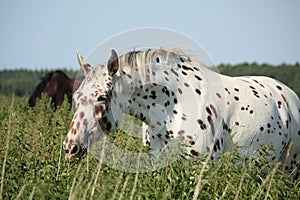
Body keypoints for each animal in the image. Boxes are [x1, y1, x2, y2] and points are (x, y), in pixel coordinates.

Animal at [63, 48, 300, 180]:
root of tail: (290, 96)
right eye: (76, 97)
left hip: (289, 169)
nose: (70, 147)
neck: (172, 107)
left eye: (102, 97)